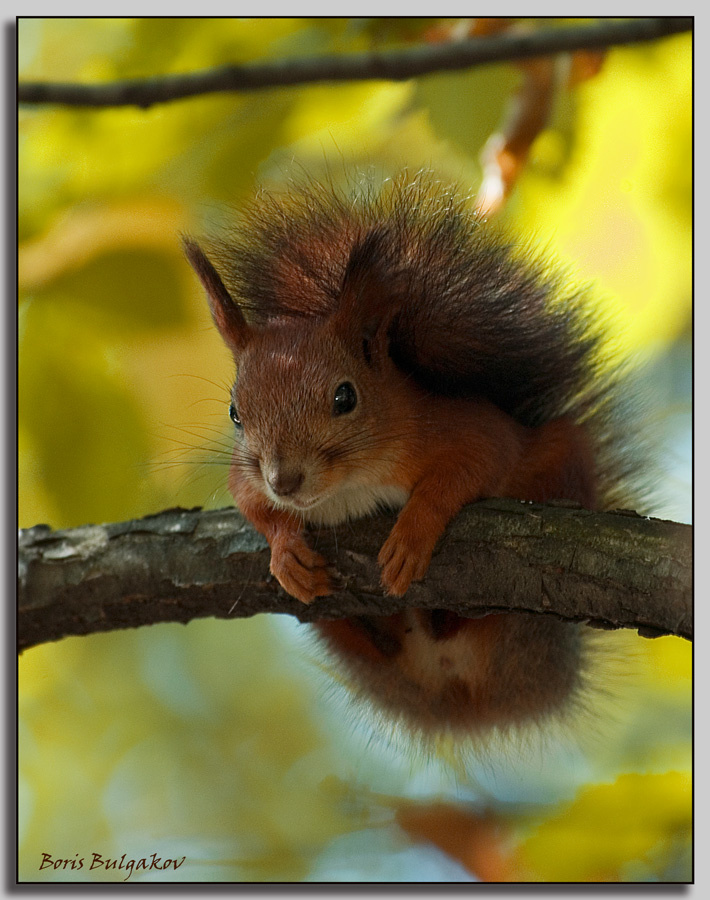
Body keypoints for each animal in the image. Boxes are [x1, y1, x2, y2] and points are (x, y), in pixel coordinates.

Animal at [183, 170, 641, 743]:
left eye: (345, 397)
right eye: (235, 413)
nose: (285, 481)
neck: (350, 483)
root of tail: (469, 700)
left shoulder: (465, 429)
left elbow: (465, 470)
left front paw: (411, 536)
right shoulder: (246, 472)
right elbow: (249, 500)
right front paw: (286, 551)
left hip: (560, 470)